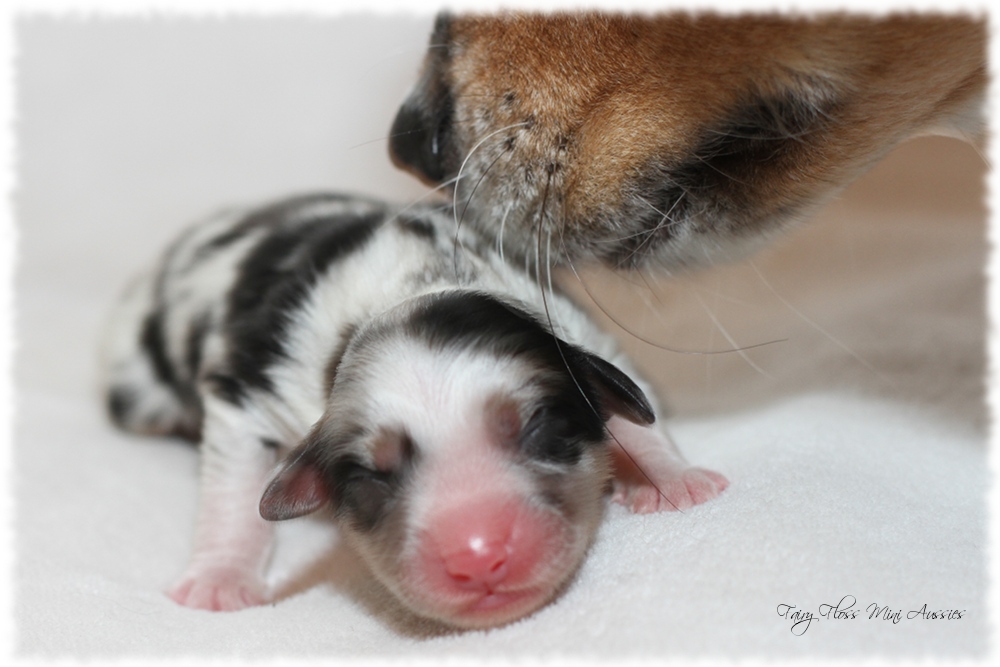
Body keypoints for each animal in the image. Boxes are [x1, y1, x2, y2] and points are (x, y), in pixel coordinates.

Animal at [101, 193, 728, 632]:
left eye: (542, 429)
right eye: (372, 476)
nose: (478, 558)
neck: (413, 285)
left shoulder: (576, 326)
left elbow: (629, 400)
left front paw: (673, 478)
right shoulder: (247, 395)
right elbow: (232, 490)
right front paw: (219, 580)